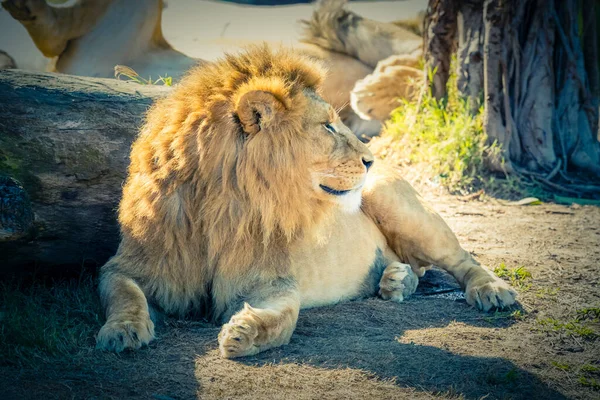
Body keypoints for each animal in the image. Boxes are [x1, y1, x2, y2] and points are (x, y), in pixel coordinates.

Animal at [95, 45, 516, 358]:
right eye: (327, 126)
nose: (371, 158)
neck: (222, 207)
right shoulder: (133, 264)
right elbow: (125, 293)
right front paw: (122, 331)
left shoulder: (272, 277)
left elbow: (286, 317)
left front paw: (245, 331)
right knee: (414, 267)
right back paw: (396, 279)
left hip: (396, 203)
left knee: (463, 259)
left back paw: (492, 291)